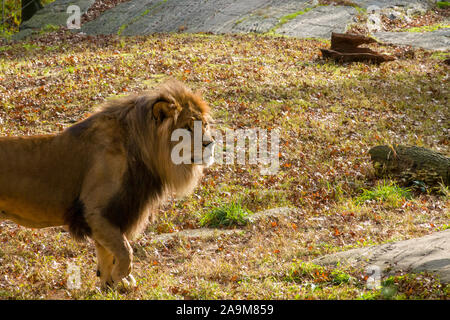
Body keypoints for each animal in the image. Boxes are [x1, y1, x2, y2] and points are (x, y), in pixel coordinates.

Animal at [0, 79, 216, 288]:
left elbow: (107, 254)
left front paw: (110, 285)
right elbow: (125, 250)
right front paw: (122, 276)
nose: (210, 143)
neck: (142, 150)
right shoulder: (94, 212)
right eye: (187, 128)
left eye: (204, 125)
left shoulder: (113, 214)